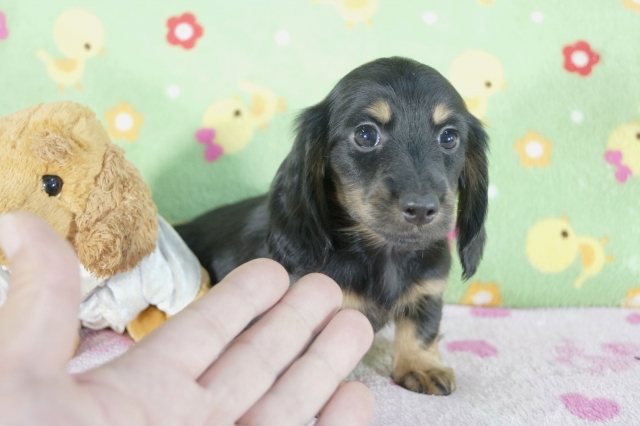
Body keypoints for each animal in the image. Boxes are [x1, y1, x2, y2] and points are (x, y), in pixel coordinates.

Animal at [176, 57, 489, 395]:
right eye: (365, 135)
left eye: (449, 137)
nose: (421, 208)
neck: (385, 252)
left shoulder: (428, 290)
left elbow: (422, 328)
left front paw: (422, 365)